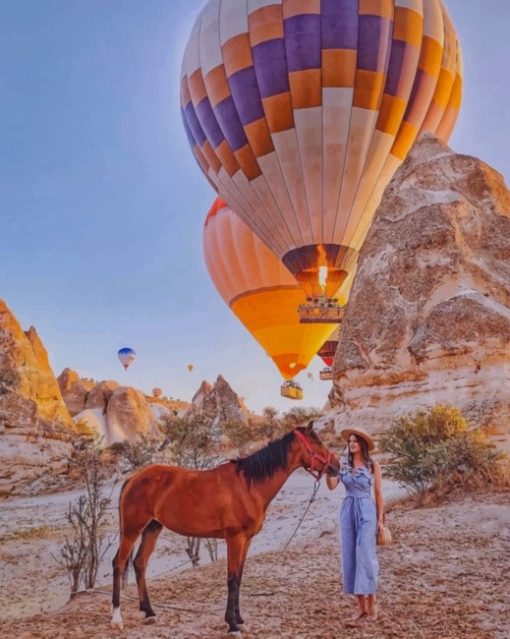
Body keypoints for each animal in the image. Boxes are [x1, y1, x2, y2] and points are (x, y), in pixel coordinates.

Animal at [109, 420, 338, 636]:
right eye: (317, 441)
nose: (337, 466)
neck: (248, 486)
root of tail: (132, 478)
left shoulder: (247, 540)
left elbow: (239, 578)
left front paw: (240, 620)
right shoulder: (235, 538)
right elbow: (232, 579)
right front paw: (232, 625)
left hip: (152, 528)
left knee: (140, 563)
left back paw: (149, 612)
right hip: (132, 530)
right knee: (119, 564)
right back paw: (117, 618)